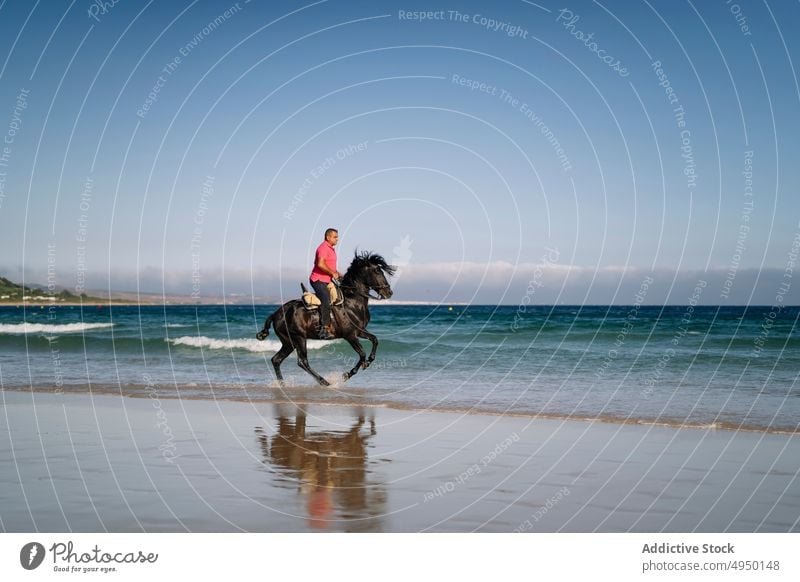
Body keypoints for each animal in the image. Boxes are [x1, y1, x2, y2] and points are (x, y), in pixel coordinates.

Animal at [256, 252, 394, 386]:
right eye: (377, 271)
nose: (389, 292)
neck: (352, 301)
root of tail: (276, 314)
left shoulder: (359, 331)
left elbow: (375, 340)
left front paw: (368, 362)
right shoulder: (350, 335)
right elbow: (362, 354)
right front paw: (346, 375)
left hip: (288, 342)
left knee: (276, 360)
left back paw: (282, 384)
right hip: (298, 338)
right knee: (302, 361)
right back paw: (325, 382)